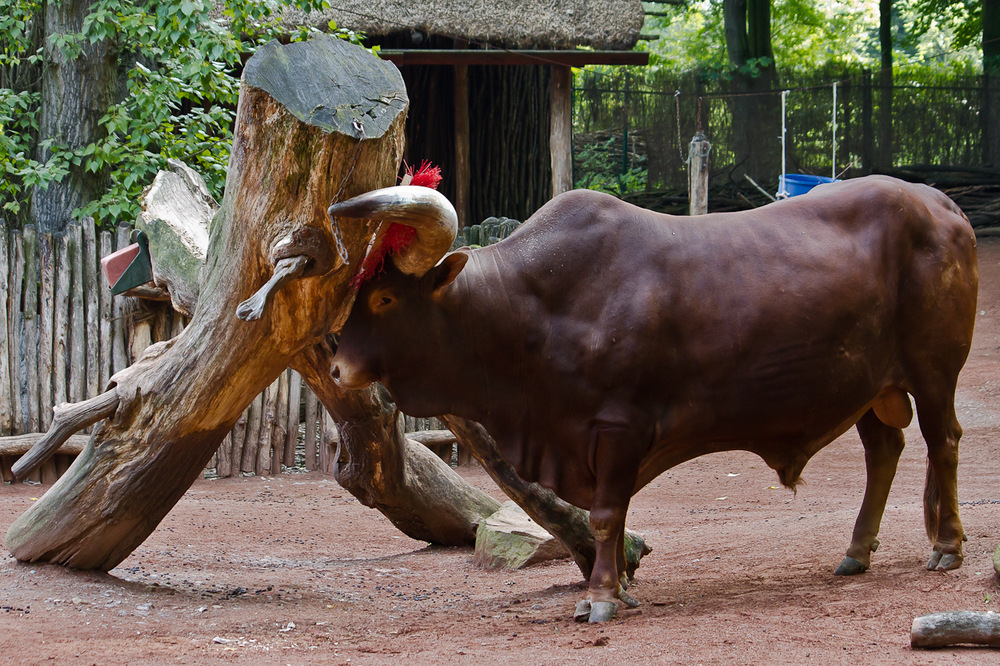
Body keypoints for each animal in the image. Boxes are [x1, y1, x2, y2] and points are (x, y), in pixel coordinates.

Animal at [326, 176, 976, 624]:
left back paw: (946, 547)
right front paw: (617, 587)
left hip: (933, 370)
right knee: (884, 450)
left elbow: (607, 515)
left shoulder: (618, 426)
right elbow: (611, 519)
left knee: (942, 441)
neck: (532, 307)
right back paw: (857, 552)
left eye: (384, 297)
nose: (335, 366)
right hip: (869, 388)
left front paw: (600, 598)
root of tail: (939, 204)